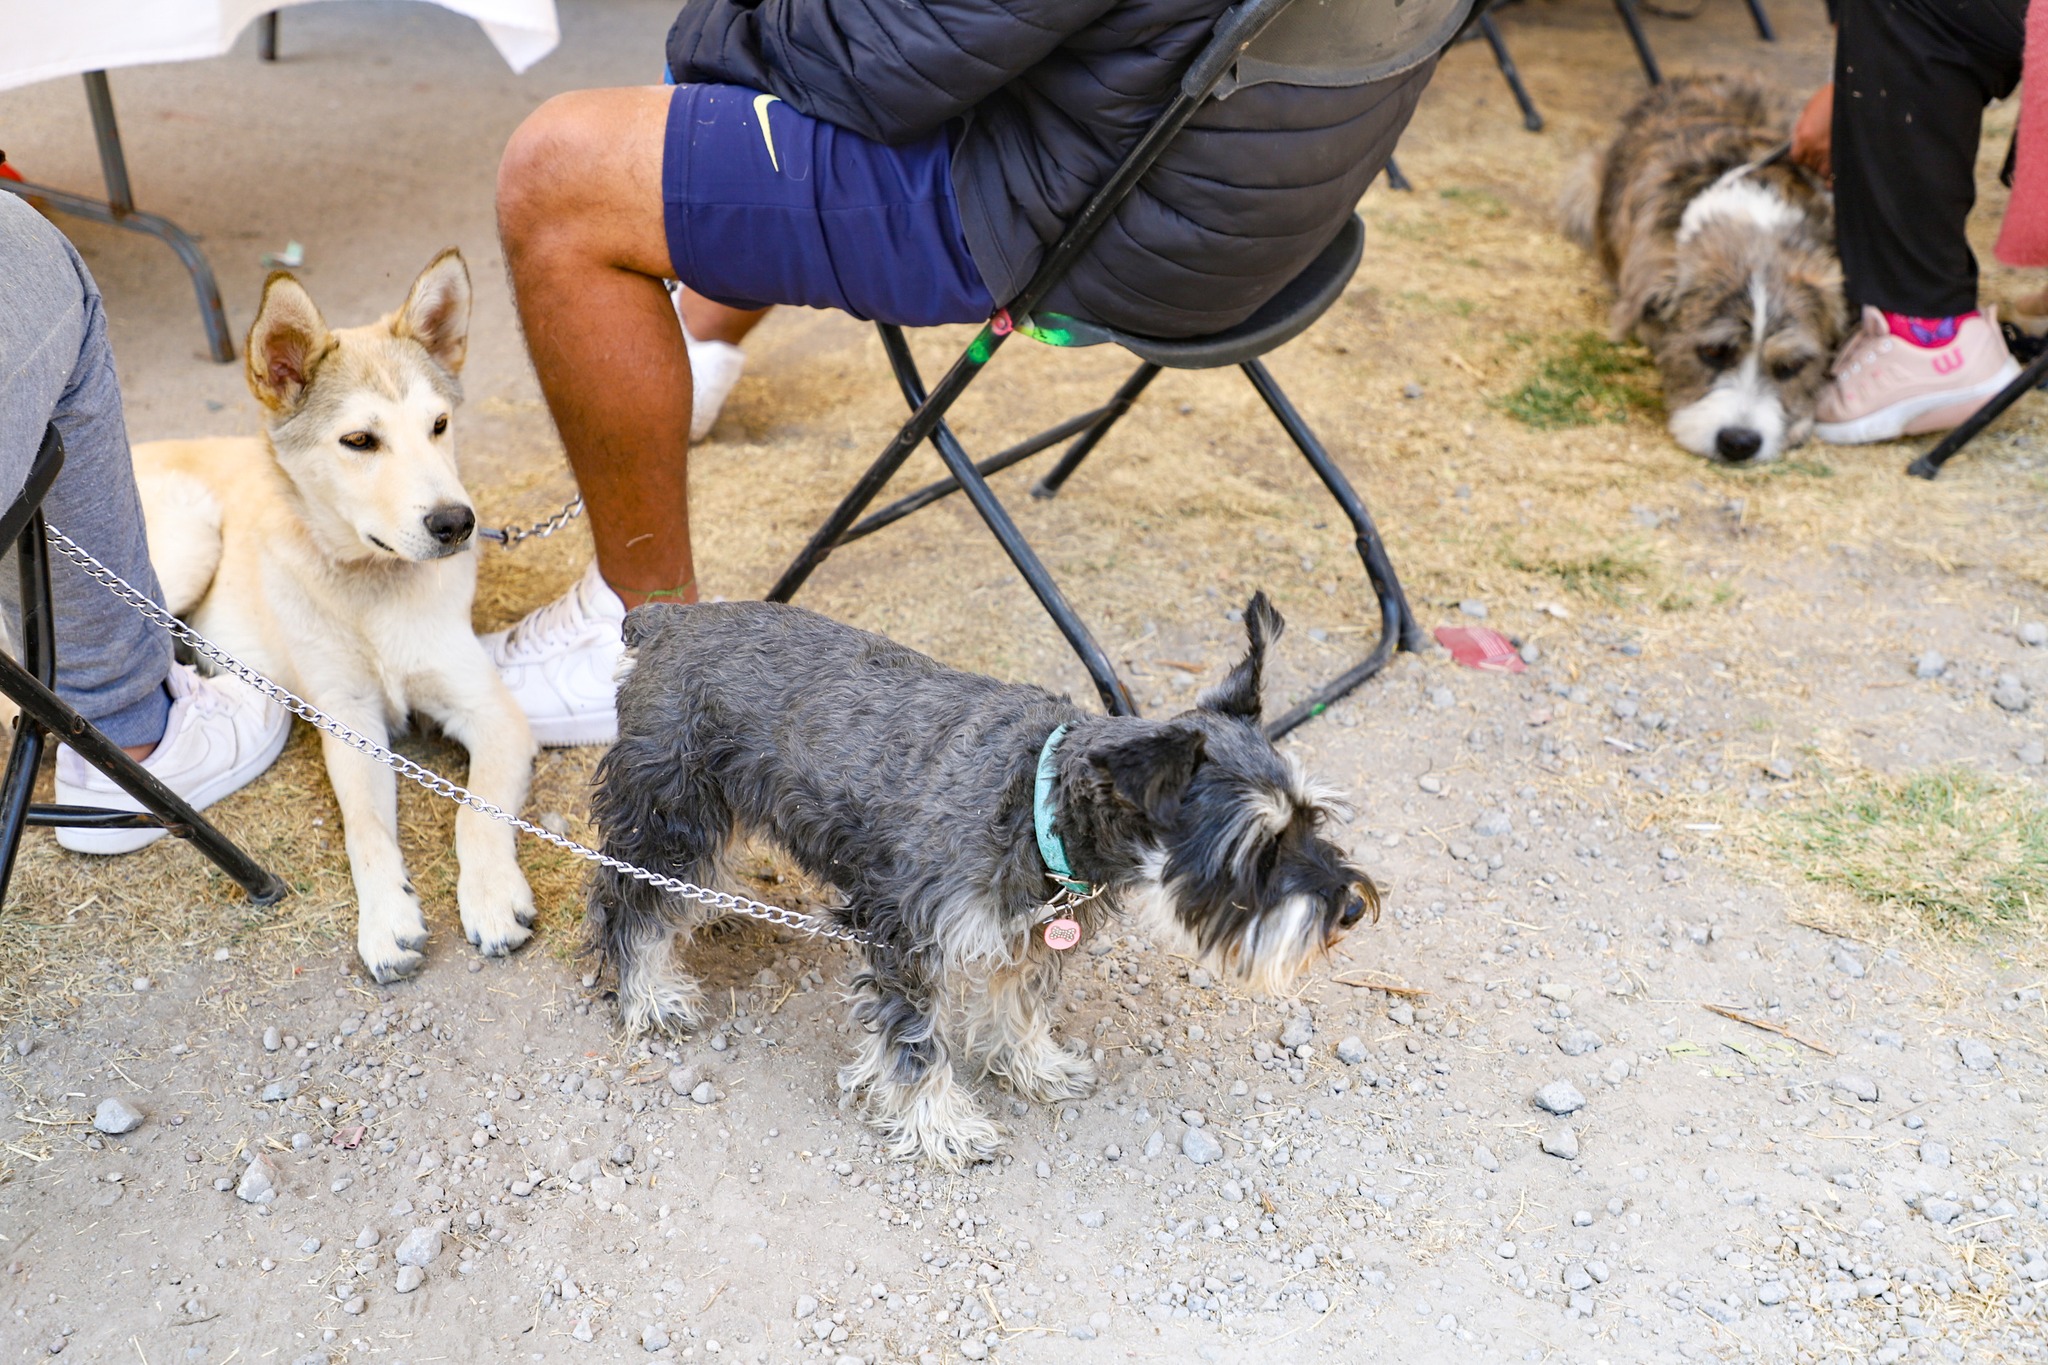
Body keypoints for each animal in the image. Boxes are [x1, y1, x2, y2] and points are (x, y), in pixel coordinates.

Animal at [134, 253, 536, 982]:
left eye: (439, 425)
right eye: (359, 440)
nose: (456, 523)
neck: (373, 587)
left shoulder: (492, 711)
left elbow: (478, 810)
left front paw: (492, 895)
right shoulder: (350, 722)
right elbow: (365, 830)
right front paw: (387, 921)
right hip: (189, 542)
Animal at [585, 593, 1376, 1170]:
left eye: (1312, 818)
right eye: (1254, 851)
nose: (1351, 909)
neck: (1037, 797)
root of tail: (666, 620)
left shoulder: (1031, 936)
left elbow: (1018, 1007)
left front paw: (1035, 1066)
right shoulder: (903, 940)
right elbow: (916, 1046)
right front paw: (941, 1125)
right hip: (669, 818)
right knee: (629, 905)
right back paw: (651, 994)